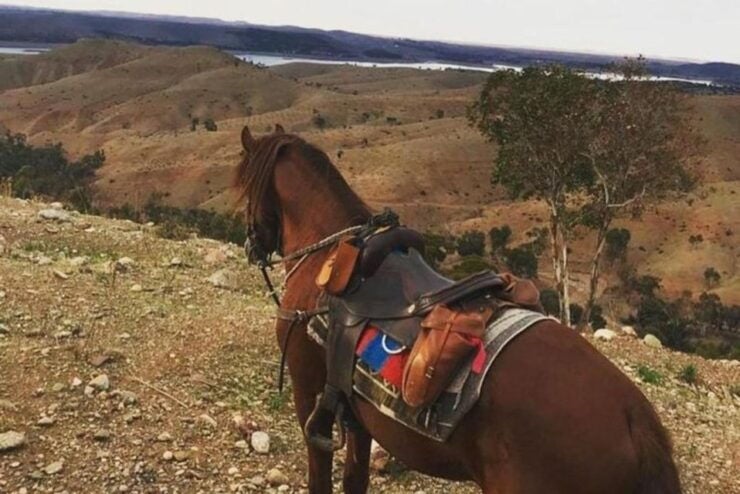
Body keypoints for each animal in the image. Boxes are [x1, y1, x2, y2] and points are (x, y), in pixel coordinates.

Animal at [233, 124, 682, 494]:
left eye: (243, 190)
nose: (252, 246)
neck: (328, 256)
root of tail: (636, 423)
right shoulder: (355, 412)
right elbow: (354, 479)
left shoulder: (309, 392)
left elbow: (320, 478)